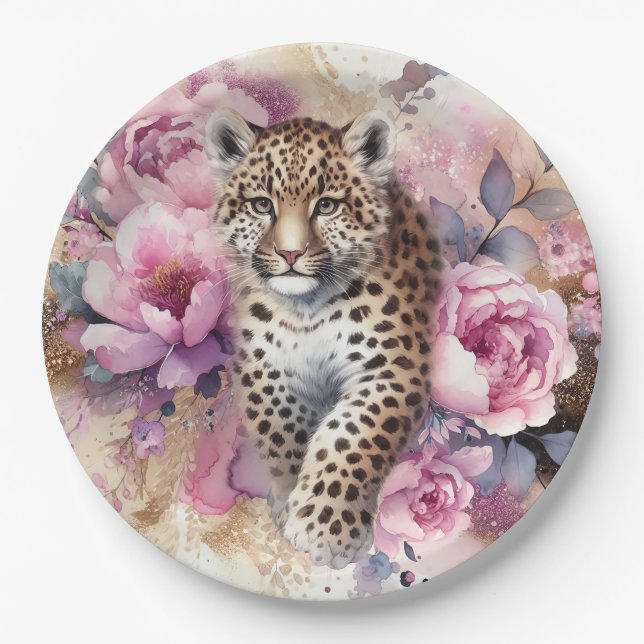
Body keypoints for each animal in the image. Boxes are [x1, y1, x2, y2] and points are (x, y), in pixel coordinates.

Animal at [204, 108, 443, 569]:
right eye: (262, 204)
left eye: (327, 206)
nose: (290, 254)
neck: (306, 311)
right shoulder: (263, 367)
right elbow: (281, 432)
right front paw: (287, 499)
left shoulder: (391, 367)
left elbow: (352, 437)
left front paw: (325, 528)